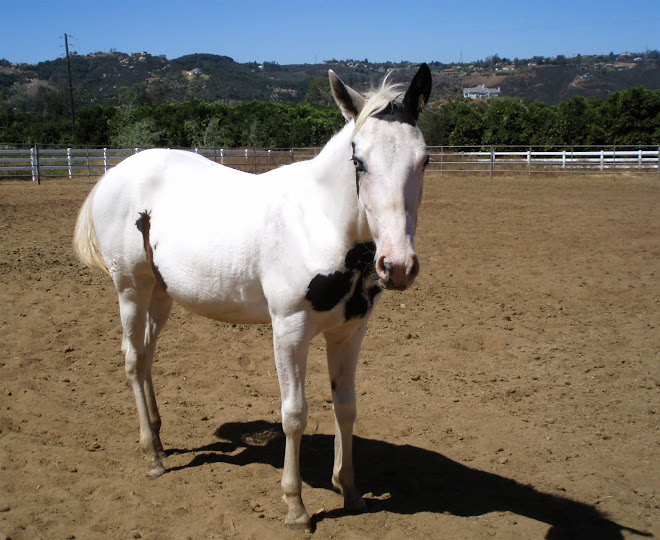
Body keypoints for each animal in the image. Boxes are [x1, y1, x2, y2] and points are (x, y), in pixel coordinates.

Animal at [75, 62, 434, 528]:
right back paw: (152, 455)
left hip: (161, 293)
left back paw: (157, 433)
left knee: (148, 355)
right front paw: (296, 506)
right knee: (134, 360)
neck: (317, 222)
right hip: (131, 288)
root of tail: (112, 174)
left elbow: (346, 406)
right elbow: (294, 414)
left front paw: (350, 490)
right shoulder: (289, 331)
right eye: (359, 160)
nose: (398, 266)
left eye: (424, 159)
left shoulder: (350, 332)